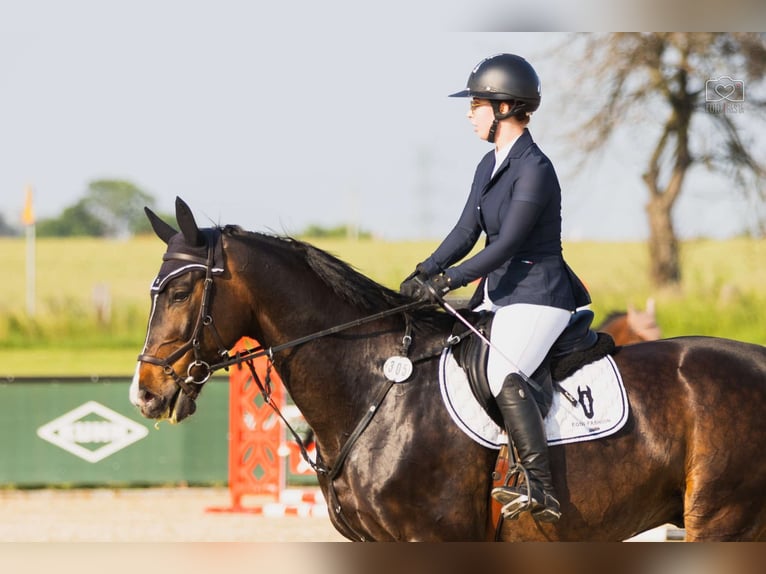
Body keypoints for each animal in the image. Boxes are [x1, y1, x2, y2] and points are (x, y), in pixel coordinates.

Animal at [130, 200, 766, 544]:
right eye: (155, 290)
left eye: (182, 292)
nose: (146, 393)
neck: (376, 386)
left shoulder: (434, 536)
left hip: (723, 522)